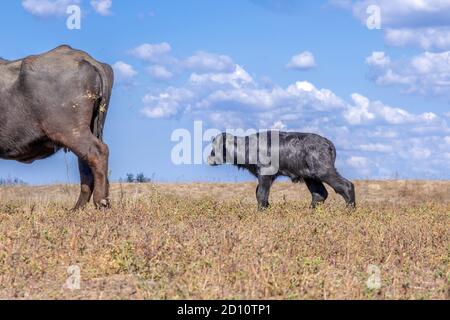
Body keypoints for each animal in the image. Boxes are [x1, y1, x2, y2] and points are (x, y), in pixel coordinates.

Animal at [0, 45, 114, 210]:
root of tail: (85, 57)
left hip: (71, 131)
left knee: (98, 152)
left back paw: (101, 202)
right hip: (91, 128)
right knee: (86, 165)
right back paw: (77, 209)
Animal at [207, 132, 356, 210]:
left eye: (214, 148)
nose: (208, 158)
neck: (248, 147)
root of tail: (329, 144)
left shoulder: (265, 174)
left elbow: (261, 195)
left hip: (323, 171)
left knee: (346, 186)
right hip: (310, 177)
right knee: (319, 194)